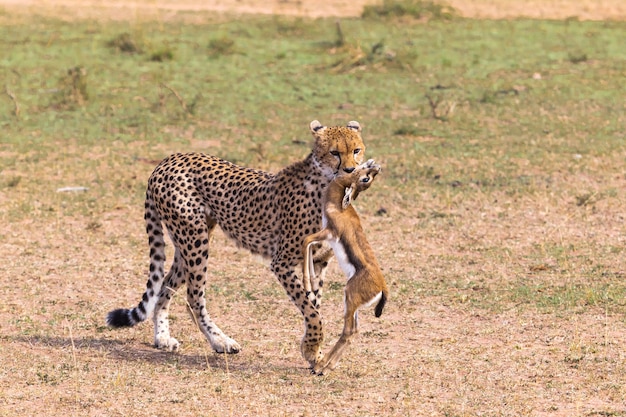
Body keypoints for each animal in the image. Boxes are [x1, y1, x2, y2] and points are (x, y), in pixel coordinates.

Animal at [107, 118, 366, 366]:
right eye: (334, 152)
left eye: (356, 150)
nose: (351, 170)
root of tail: (169, 159)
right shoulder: (282, 263)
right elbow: (312, 311)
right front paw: (312, 348)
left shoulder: (319, 261)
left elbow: (314, 306)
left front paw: (314, 350)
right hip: (195, 239)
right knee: (193, 297)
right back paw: (220, 341)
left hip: (189, 241)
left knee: (165, 286)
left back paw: (162, 337)